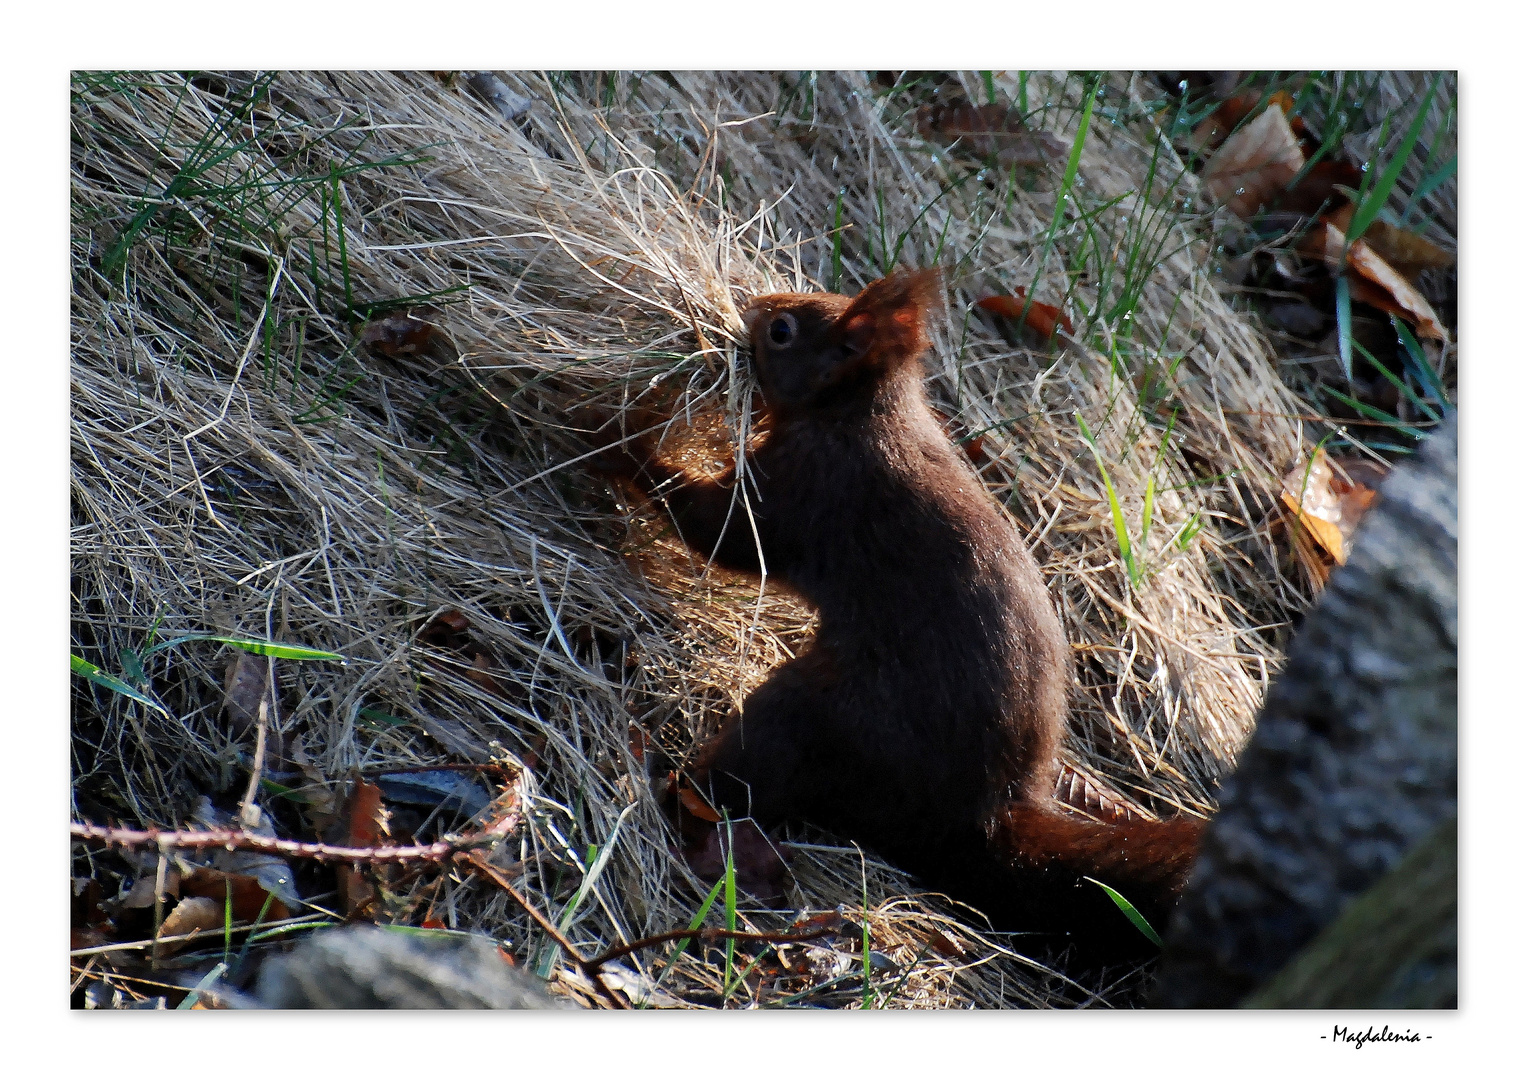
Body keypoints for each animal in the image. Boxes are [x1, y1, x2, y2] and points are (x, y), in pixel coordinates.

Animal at [595, 270, 1204, 965]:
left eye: (783, 331)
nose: (750, 305)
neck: (860, 414)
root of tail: (979, 819)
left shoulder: (812, 488)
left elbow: (723, 533)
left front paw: (619, 442)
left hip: (823, 719)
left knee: (743, 780)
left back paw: (667, 782)